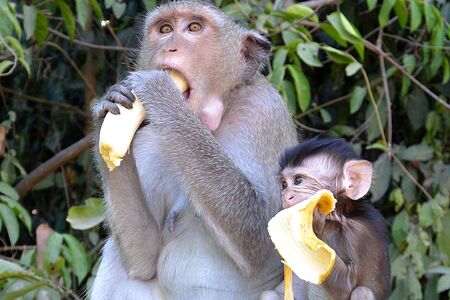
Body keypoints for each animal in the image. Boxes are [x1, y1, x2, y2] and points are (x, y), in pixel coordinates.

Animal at [89, 1, 298, 298]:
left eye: (194, 28)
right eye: (165, 29)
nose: (169, 48)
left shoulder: (263, 111)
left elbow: (261, 235)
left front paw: (161, 91)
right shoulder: (148, 141)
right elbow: (143, 260)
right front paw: (107, 110)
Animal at [266, 138, 388, 300]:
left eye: (298, 180)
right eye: (284, 185)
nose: (285, 196)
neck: (337, 219)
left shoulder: (360, 235)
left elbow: (347, 286)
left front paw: (313, 226)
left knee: (362, 292)